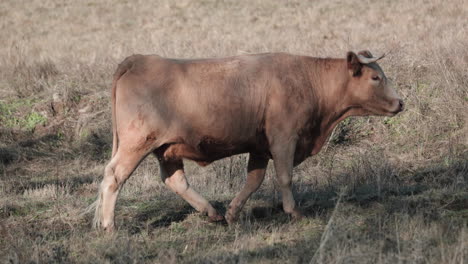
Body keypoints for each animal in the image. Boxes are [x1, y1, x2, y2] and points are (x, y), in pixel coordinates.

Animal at [93, 50, 404, 231]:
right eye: (375, 77)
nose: (401, 102)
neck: (308, 80)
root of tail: (140, 59)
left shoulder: (260, 147)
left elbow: (254, 180)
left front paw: (232, 212)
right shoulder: (283, 138)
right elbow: (285, 177)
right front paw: (294, 211)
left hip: (166, 149)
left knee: (175, 180)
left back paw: (212, 212)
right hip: (136, 143)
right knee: (113, 177)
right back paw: (108, 226)